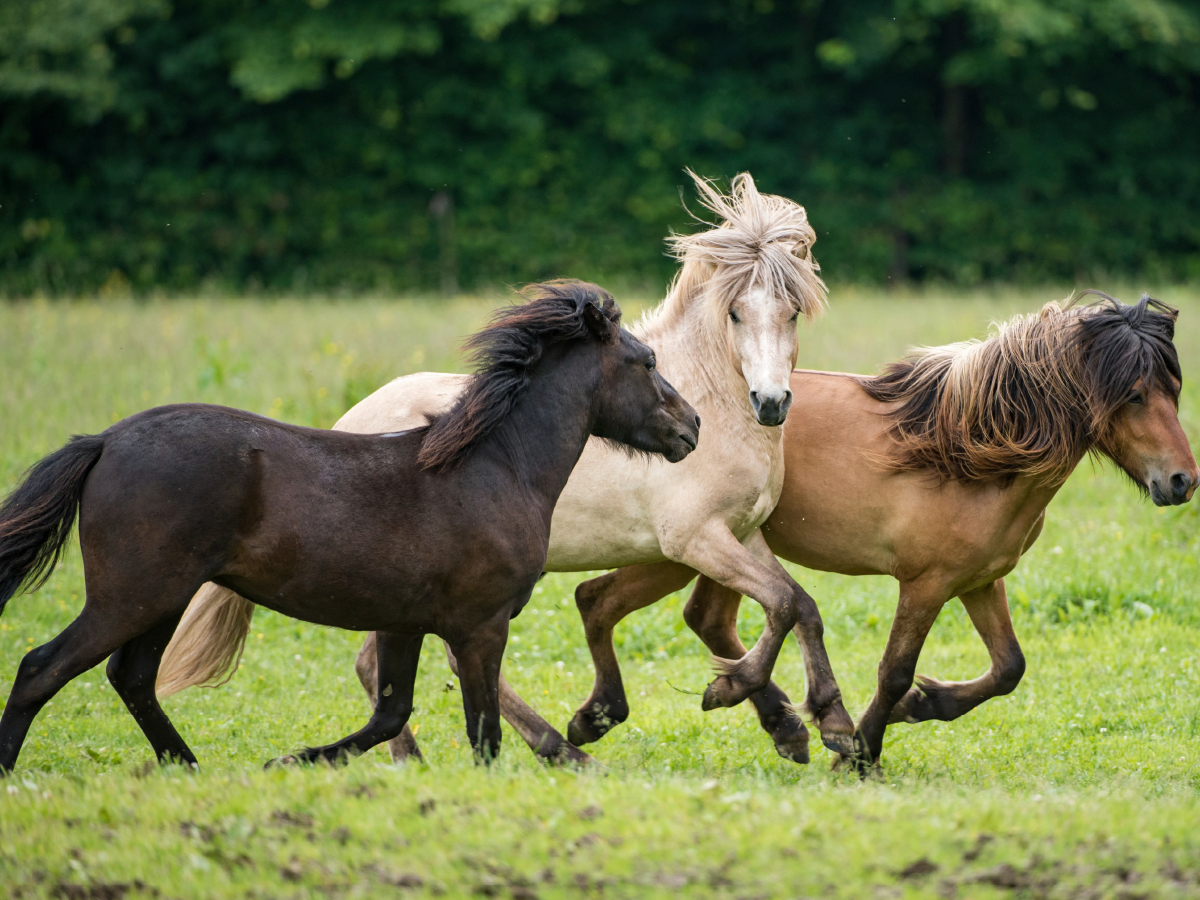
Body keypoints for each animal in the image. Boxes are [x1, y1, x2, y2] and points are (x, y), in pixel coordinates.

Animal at [0, 283, 700, 777]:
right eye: (646, 361)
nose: (691, 427)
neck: (499, 468)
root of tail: (104, 441)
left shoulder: (405, 622)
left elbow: (390, 715)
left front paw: (287, 761)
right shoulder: (481, 626)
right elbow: (482, 734)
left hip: (162, 599)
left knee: (132, 678)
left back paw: (190, 769)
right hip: (132, 595)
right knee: (42, 667)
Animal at [157, 172, 864, 763]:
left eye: (793, 312)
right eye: (737, 312)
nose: (770, 403)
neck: (712, 402)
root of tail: (346, 423)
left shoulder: (740, 534)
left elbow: (799, 606)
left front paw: (821, 725)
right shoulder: (696, 539)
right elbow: (779, 605)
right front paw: (736, 697)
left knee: (383, 661)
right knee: (419, 661)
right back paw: (539, 748)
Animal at [564, 292, 1200, 772]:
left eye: (1174, 390)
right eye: (1134, 395)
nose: (1181, 481)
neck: (968, 449)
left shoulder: (978, 582)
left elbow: (1008, 668)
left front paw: (922, 705)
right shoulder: (926, 584)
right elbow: (894, 671)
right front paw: (859, 750)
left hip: (706, 550)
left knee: (676, 613)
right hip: (679, 549)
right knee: (610, 601)